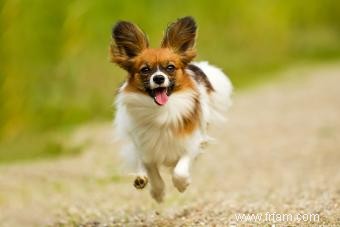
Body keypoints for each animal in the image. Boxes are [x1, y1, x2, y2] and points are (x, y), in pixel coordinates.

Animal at [110, 17, 232, 202]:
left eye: (170, 68)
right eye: (145, 70)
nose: (159, 78)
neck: (162, 110)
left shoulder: (191, 142)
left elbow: (180, 171)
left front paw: (182, 185)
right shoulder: (145, 146)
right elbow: (151, 169)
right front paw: (158, 193)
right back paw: (140, 178)